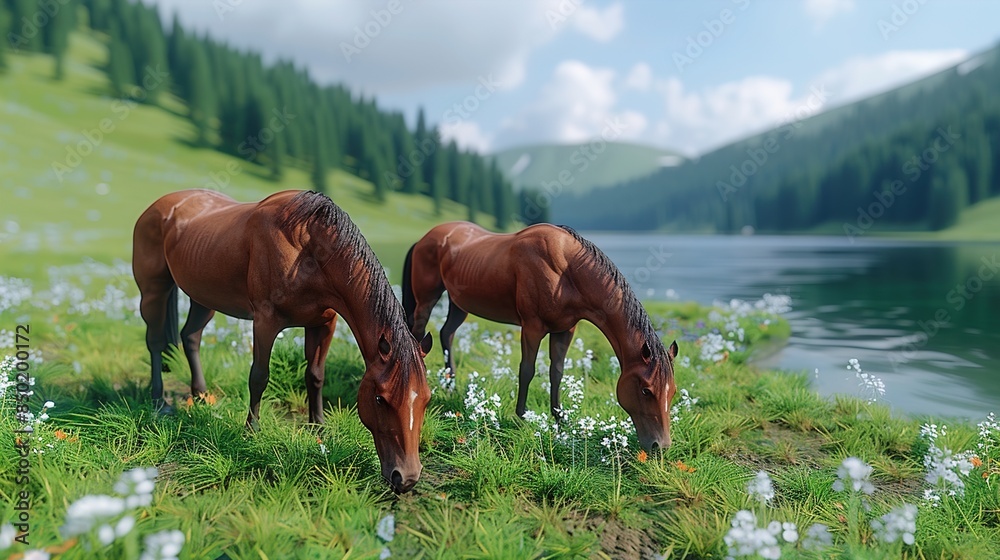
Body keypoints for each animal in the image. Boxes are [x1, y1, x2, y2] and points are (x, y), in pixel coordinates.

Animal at [131, 190, 432, 492]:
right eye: (380, 399)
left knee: (190, 336)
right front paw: (251, 431)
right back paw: (158, 400)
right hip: (154, 290)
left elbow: (315, 376)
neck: (306, 248)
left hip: (204, 296)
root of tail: (160, 206)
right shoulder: (266, 321)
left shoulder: (324, 324)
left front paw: (318, 427)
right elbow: (259, 377)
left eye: (427, 399)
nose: (406, 477)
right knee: (154, 341)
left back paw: (201, 395)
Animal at [400, 222, 680, 450]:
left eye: (673, 392)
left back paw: (452, 384)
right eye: (646, 391)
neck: (566, 270)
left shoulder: (564, 330)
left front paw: (559, 419)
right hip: (427, 299)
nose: (661, 446)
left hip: (459, 303)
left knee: (447, 333)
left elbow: (557, 372)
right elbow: (527, 370)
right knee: (417, 333)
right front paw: (522, 416)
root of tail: (424, 239)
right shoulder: (532, 327)